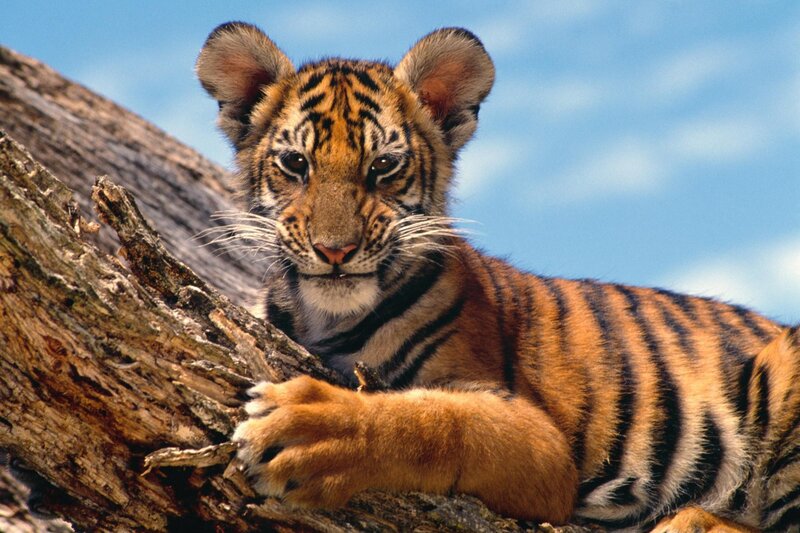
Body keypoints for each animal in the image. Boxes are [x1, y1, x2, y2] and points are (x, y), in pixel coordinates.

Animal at [196, 22, 800, 531]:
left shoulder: (540, 442)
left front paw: (306, 432)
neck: (325, 315)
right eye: (295, 164)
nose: (335, 250)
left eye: (383, 166)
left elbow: (437, 423)